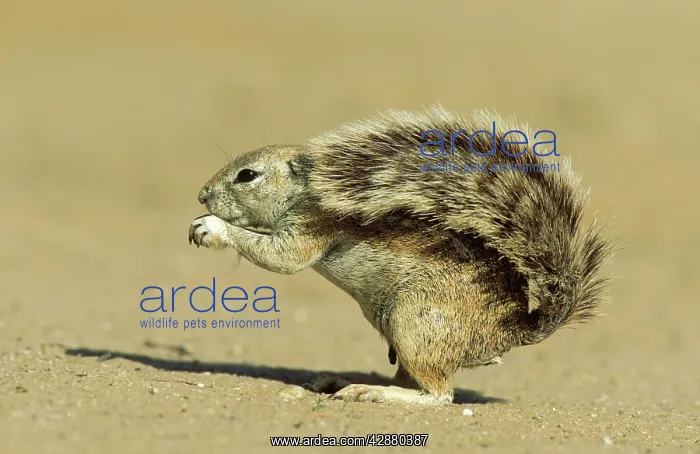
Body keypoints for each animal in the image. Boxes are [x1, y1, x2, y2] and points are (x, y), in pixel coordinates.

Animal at [188, 106, 614, 405]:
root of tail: (514, 329)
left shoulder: (314, 224)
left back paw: (373, 393)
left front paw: (213, 228)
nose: (202, 195)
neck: (310, 191)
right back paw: (346, 382)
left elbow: (283, 258)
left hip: (416, 322)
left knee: (438, 395)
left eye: (247, 175)